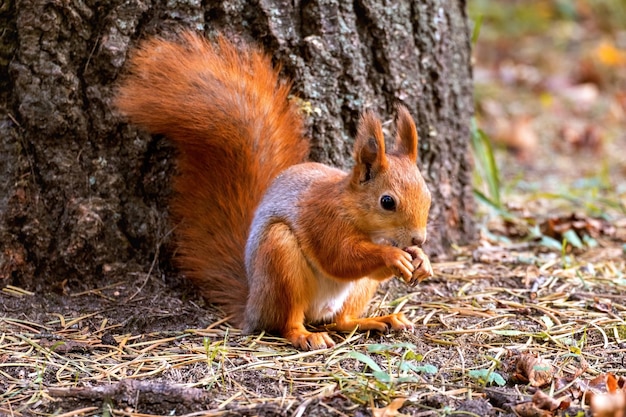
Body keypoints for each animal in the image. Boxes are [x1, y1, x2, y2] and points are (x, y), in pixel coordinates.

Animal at [114, 31, 432, 348]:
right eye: (387, 201)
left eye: (428, 197)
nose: (419, 238)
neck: (356, 212)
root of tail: (252, 306)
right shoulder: (324, 220)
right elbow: (340, 258)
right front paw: (393, 256)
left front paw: (421, 260)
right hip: (279, 259)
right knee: (286, 322)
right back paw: (306, 335)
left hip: (355, 291)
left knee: (342, 321)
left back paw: (380, 320)